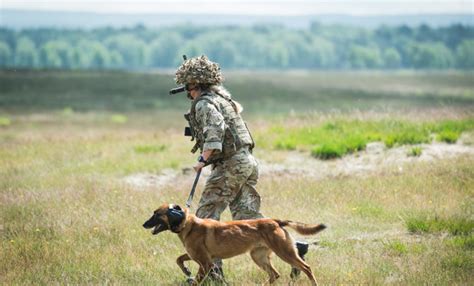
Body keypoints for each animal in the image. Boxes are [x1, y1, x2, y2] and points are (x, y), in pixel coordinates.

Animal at [143, 203, 326, 284]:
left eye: (157, 214)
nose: (143, 224)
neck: (188, 224)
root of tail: (275, 221)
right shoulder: (199, 258)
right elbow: (179, 259)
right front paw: (186, 270)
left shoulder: (205, 262)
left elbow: (196, 280)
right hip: (258, 257)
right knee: (275, 274)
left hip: (284, 252)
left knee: (306, 268)